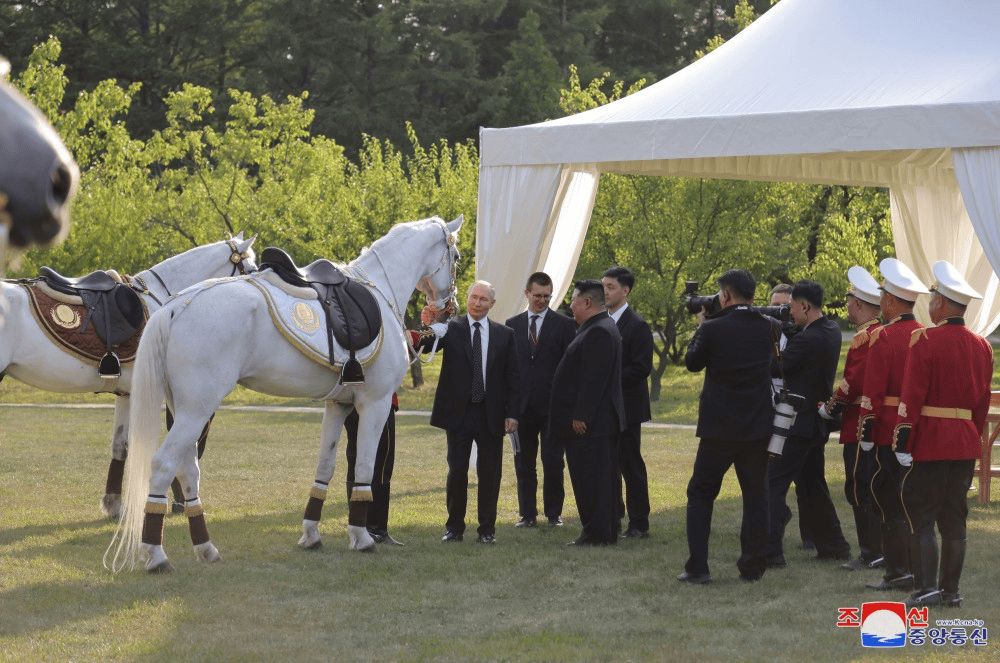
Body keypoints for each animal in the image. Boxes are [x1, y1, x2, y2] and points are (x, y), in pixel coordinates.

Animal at [108, 215, 460, 572]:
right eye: (456, 257)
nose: (448, 306)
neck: (379, 286)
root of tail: (174, 307)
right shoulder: (374, 404)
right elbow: (364, 469)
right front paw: (361, 538)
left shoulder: (338, 405)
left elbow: (324, 467)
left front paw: (311, 535)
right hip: (196, 410)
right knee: (163, 465)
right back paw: (156, 555)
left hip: (185, 411)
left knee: (188, 470)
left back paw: (205, 548)